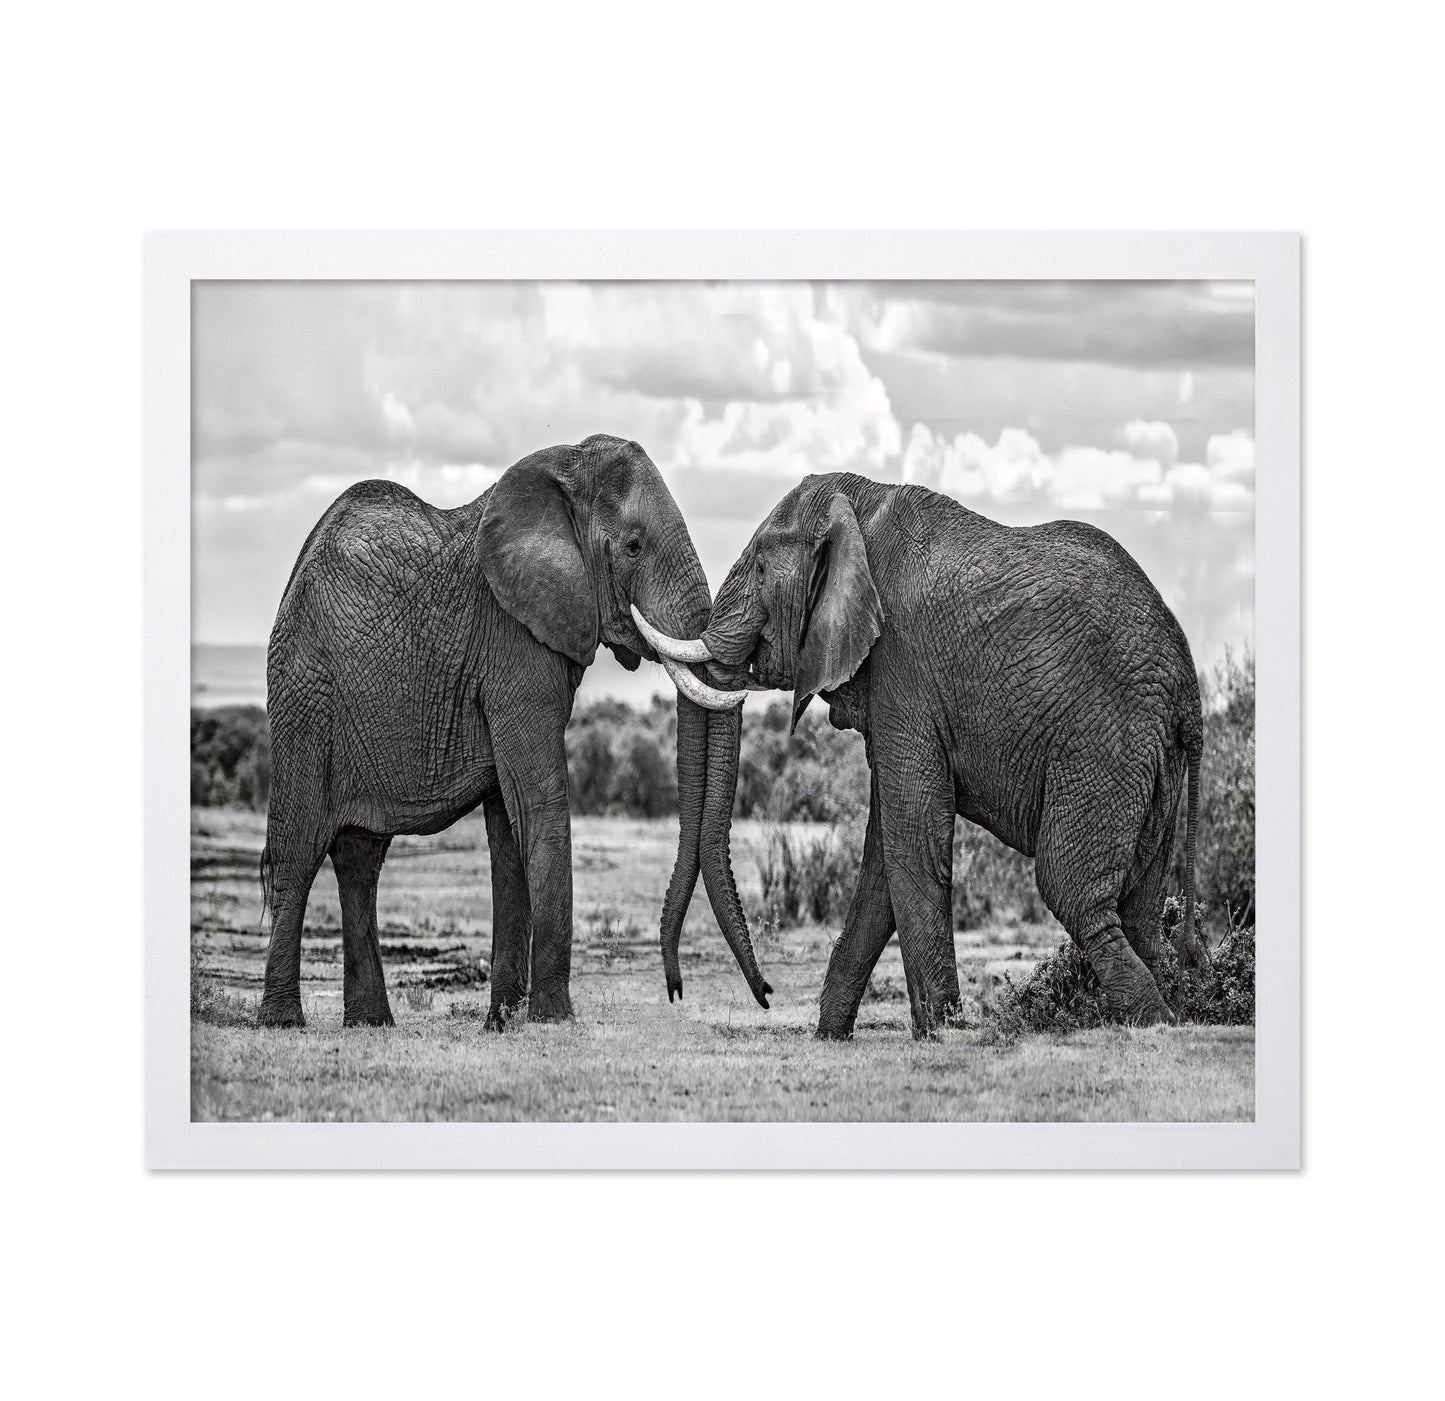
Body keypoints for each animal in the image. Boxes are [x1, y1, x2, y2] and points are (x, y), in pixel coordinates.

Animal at [257, 434, 771, 1031]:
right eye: (634, 545)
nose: (676, 990)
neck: (565, 472)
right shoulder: (513, 642)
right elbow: (537, 799)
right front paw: (554, 1019)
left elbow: (510, 823)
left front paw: (502, 1022)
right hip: (304, 696)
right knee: (299, 852)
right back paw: (283, 1021)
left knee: (360, 860)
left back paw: (371, 1024)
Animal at [639, 471, 1207, 1039]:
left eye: (759, 566)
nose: (767, 994)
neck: (857, 509)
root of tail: (1188, 685)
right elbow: (883, 857)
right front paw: (832, 1036)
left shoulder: (902, 666)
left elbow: (911, 837)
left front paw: (941, 1033)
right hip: (1153, 759)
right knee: (1140, 910)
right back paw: (1178, 1009)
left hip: (1105, 740)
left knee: (1073, 891)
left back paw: (1155, 1022)